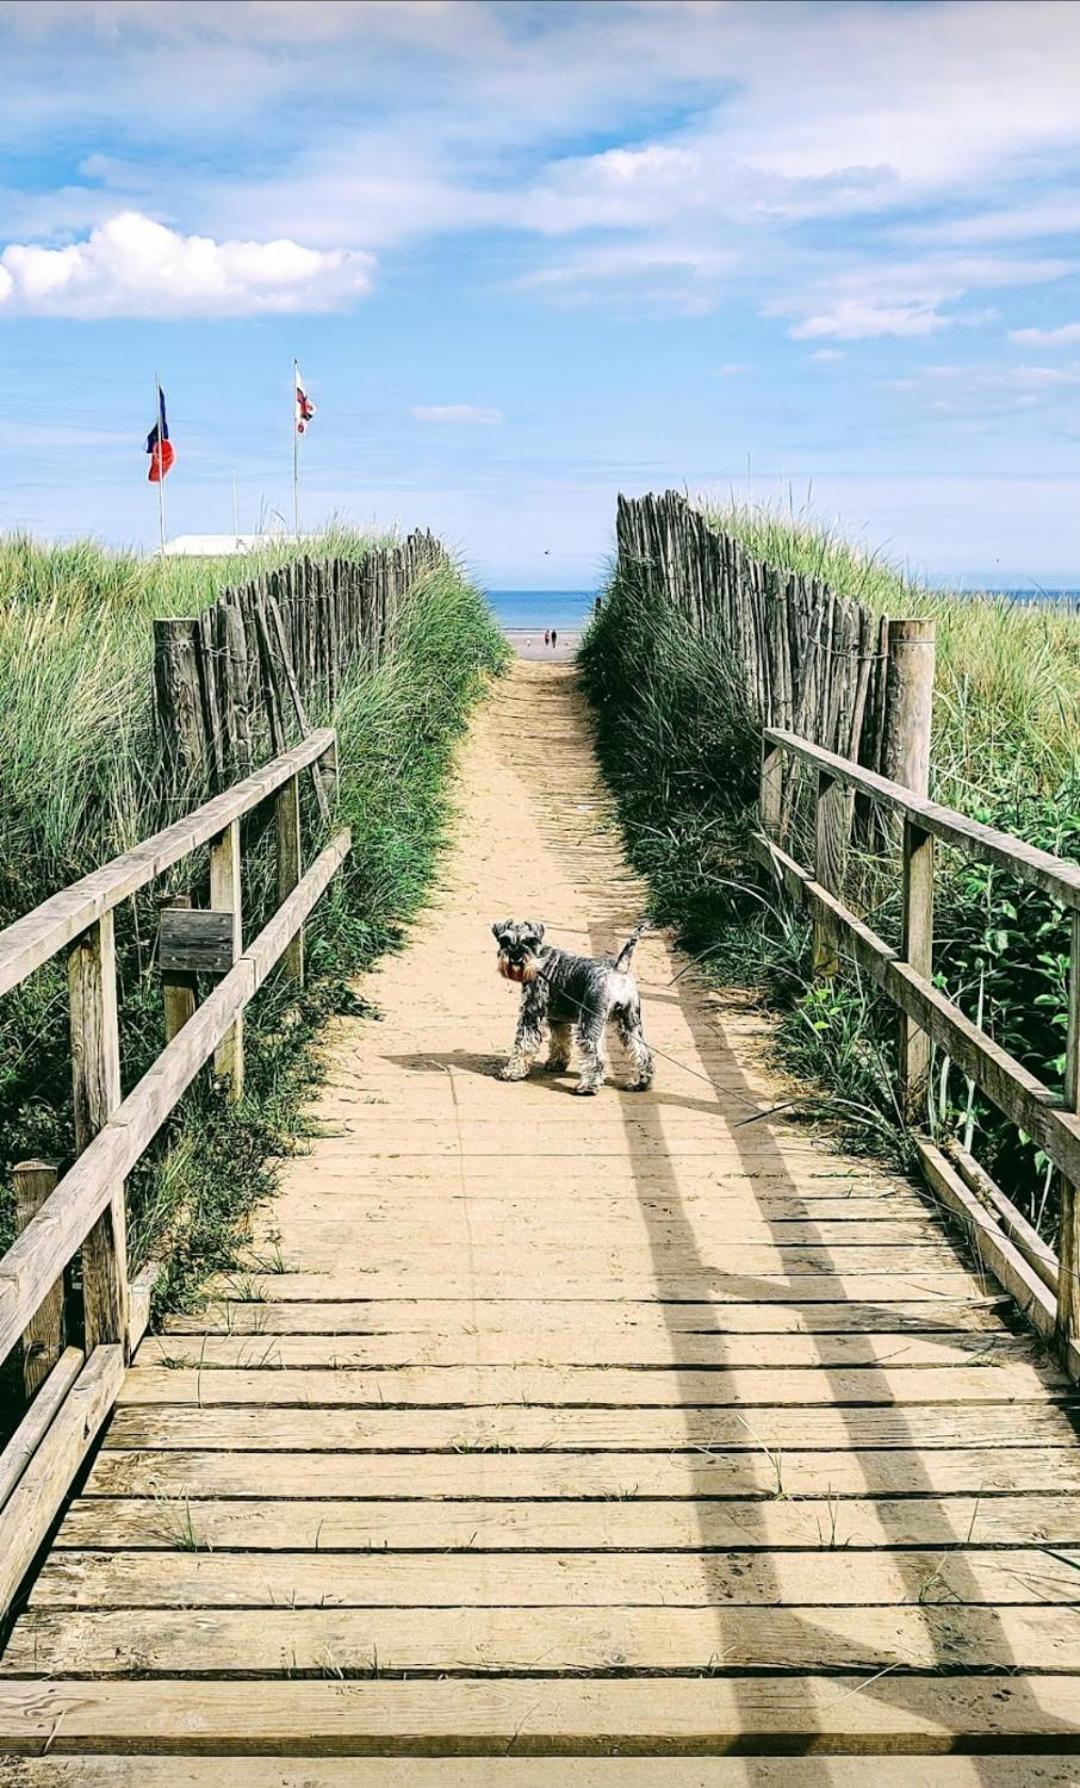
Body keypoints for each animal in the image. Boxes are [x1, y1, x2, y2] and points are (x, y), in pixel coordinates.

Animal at [493, 915, 654, 1094]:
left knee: (596, 1057)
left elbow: (523, 1044)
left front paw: (512, 1072)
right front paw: (557, 1063)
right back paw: (640, 1082)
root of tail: (619, 969)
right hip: (630, 1022)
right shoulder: (557, 1019)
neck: (539, 960)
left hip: (589, 1022)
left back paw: (587, 1087)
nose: (515, 957)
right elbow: (560, 1040)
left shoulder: (531, 1013)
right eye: (505, 940)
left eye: (530, 940)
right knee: (642, 1053)